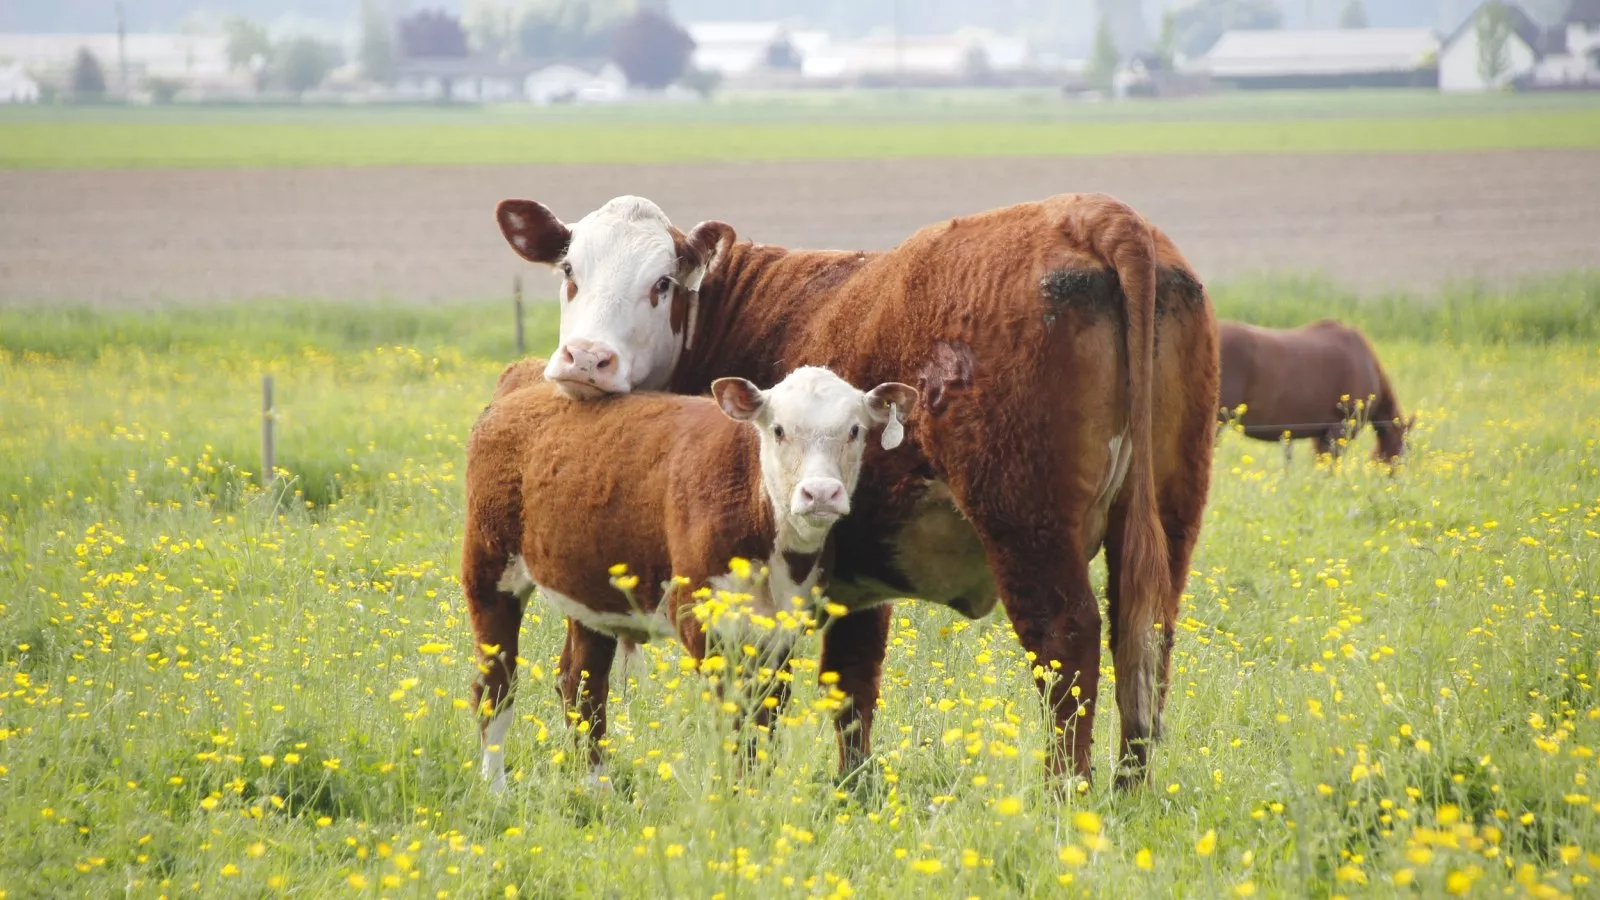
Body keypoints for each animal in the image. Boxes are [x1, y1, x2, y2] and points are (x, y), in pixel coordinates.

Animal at [464, 358, 918, 792]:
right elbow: (735, 719)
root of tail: (524, 380)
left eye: (854, 430)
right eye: (778, 430)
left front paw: (755, 794)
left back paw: (598, 788)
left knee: (581, 685)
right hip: (488, 566)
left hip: (590, 588)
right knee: (497, 684)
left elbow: (765, 719)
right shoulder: (704, 622)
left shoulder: (781, 635)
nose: (820, 493)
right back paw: (495, 788)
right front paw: (734, 796)